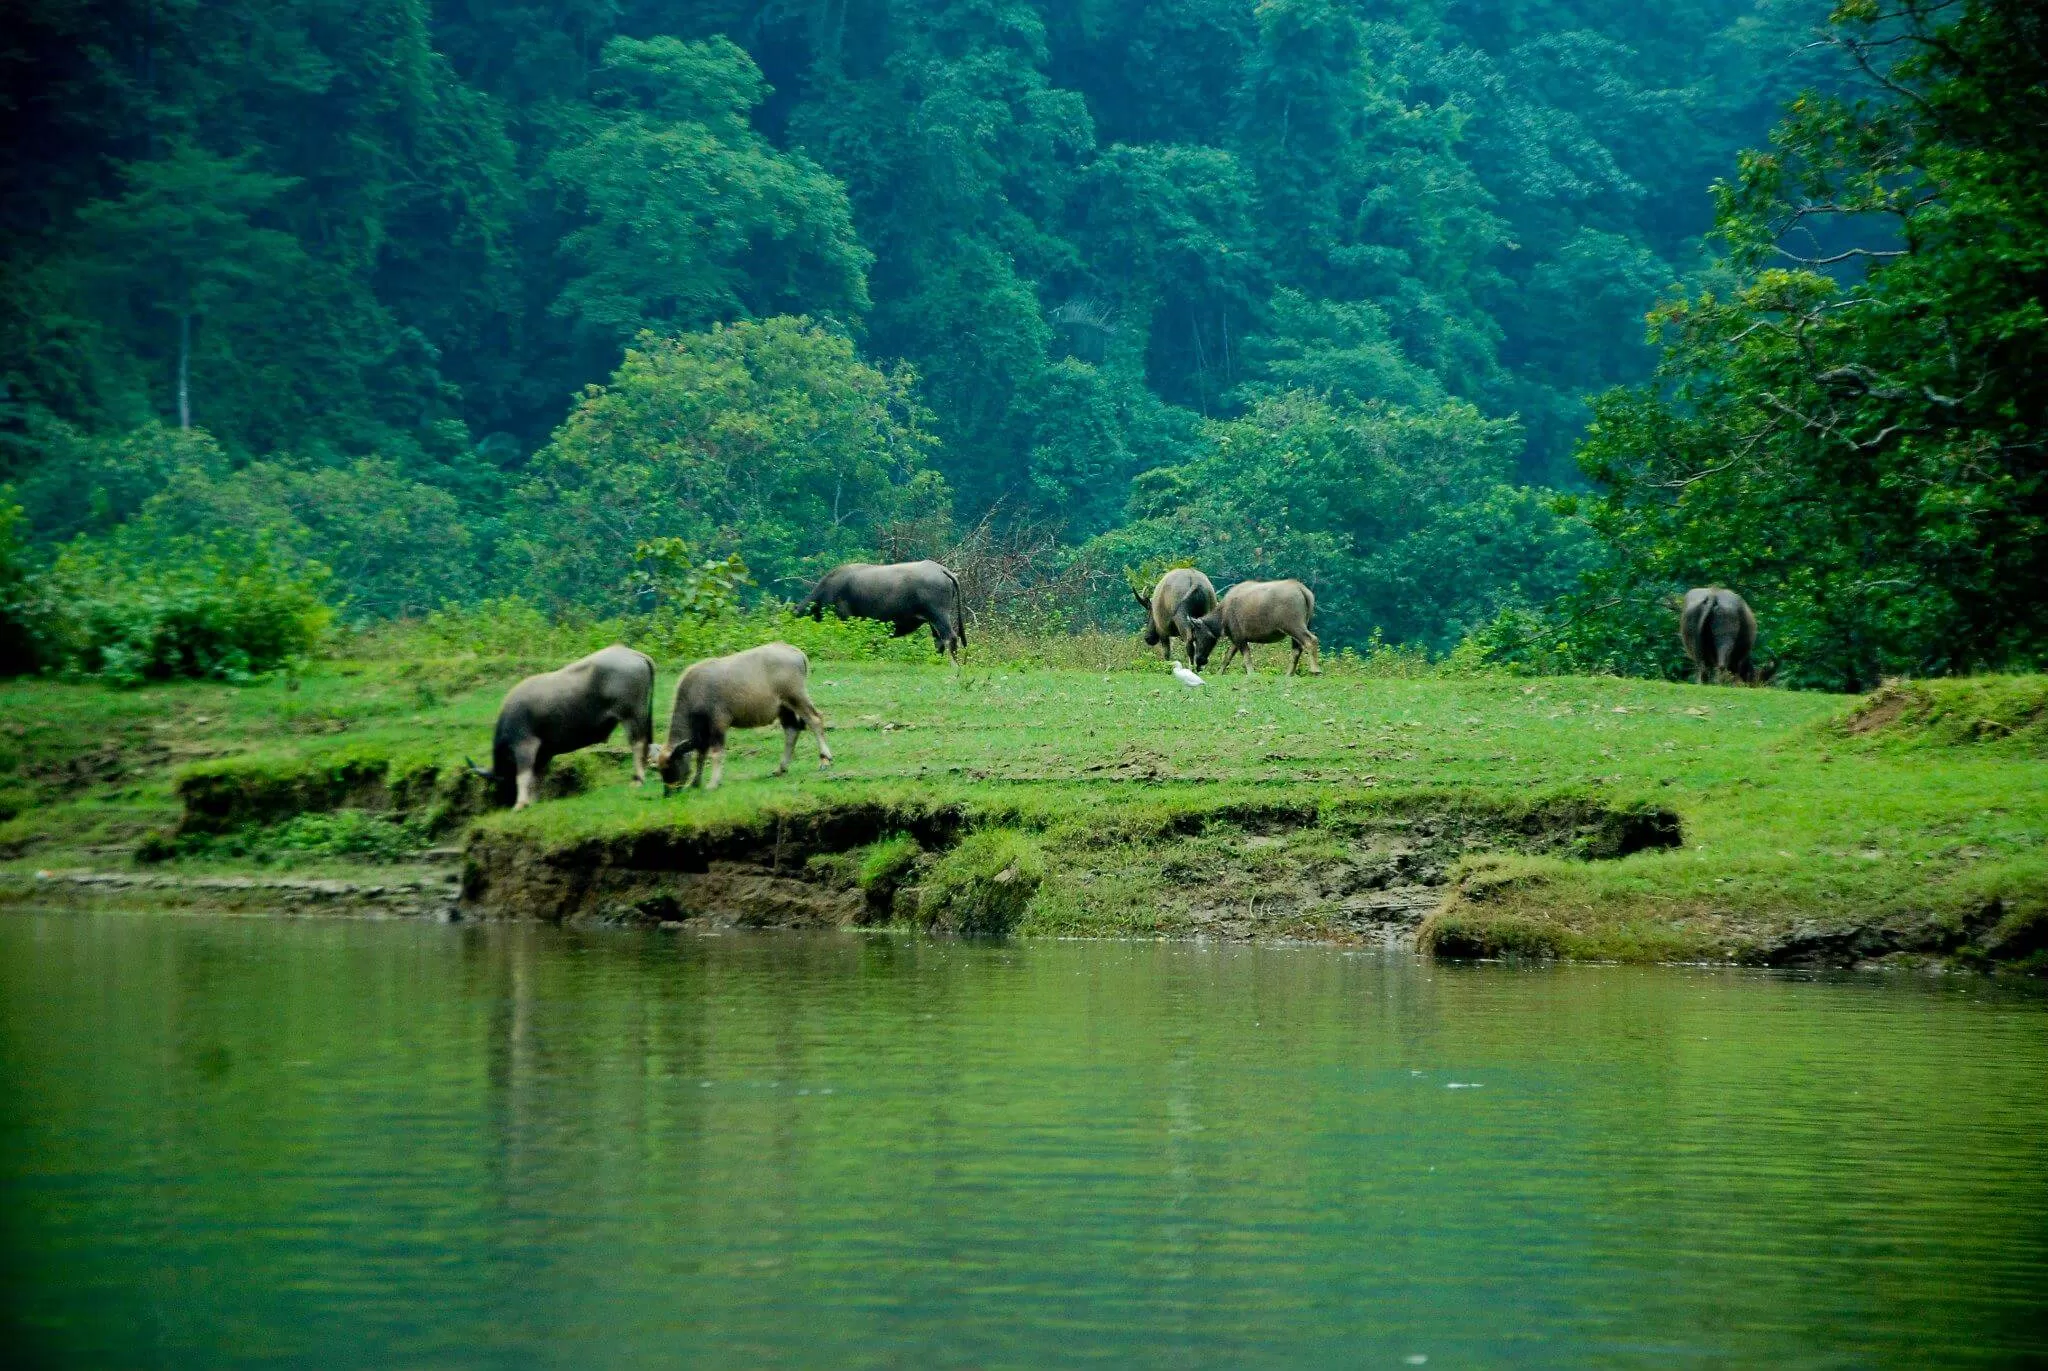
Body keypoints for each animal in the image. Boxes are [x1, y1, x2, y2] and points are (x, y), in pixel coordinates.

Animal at [468, 643, 651, 807]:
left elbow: (524, 775)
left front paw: (521, 804)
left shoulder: (524, 745)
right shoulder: (545, 753)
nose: (502, 801)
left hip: (630, 715)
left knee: (637, 743)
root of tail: (636, 655)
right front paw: (532, 801)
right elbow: (538, 777)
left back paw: (638, 779)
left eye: (498, 780)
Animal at [647, 643, 823, 791]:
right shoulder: (702, 731)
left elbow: (716, 753)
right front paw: (695, 782)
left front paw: (713, 783)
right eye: (660, 770)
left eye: (670, 767)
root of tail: (796, 652)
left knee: (815, 720)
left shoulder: (718, 723)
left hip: (796, 698)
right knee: (792, 731)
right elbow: (700, 754)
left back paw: (824, 760)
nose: (669, 792)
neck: (695, 692)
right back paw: (781, 768)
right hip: (784, 709)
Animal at [798, 561, 966, 655]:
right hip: (932, 620)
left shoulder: (845, 619)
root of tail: (941, 570)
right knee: (939, 641)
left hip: (939, 615)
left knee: (950, 638)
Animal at [1187, 582, 1327, 676]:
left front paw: (1251, 673)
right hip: (1298, 628)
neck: (1223, 614)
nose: (1198, 660)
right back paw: (1289, 674)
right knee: (1297, 649)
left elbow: (1246, 656)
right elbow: (1228, 657)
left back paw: (1315, 670)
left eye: (1196, 637)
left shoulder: (1238, 637)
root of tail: (1302, 590)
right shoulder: (1236, 638)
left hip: (1294, 626)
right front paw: (1219, 673)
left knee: (1311, 640)